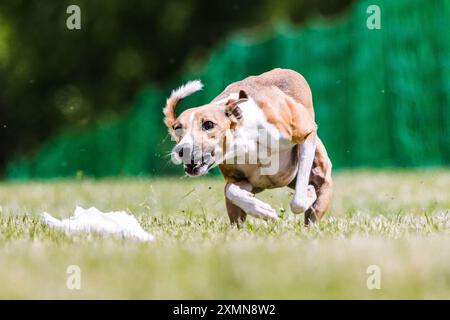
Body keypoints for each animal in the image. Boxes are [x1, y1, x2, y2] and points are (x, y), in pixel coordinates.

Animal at [163, 69, 332, 226]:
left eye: (208, 124)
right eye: (177, 128)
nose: (181, 150)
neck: (247, 141)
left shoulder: (306, 134)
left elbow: (298, 200)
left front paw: (309, 194)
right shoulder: (239, 178)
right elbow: (231, 190)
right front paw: (260, 209)